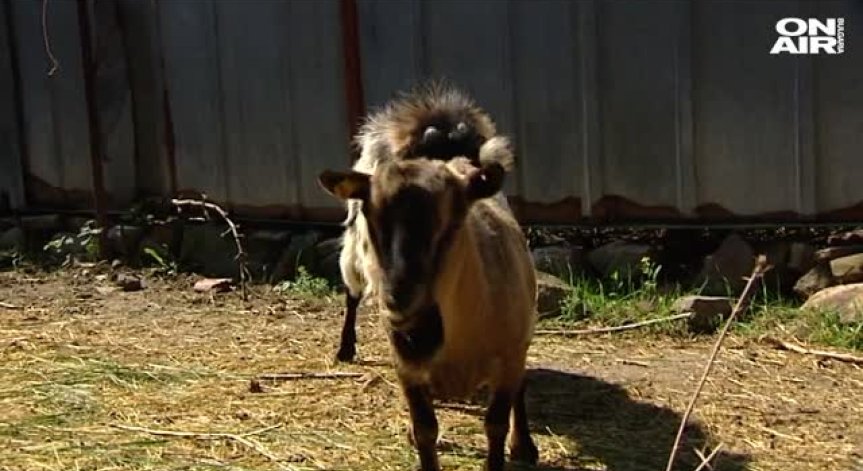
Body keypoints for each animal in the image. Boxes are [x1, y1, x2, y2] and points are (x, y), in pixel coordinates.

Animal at [318, 140, 538, 471]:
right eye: (370, 217)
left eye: (454, 222)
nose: (398, 299)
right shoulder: (407, 366)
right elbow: (425, 429)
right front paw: (416, 434)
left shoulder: (510, 356)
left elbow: (496, 423)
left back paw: (524, 445)